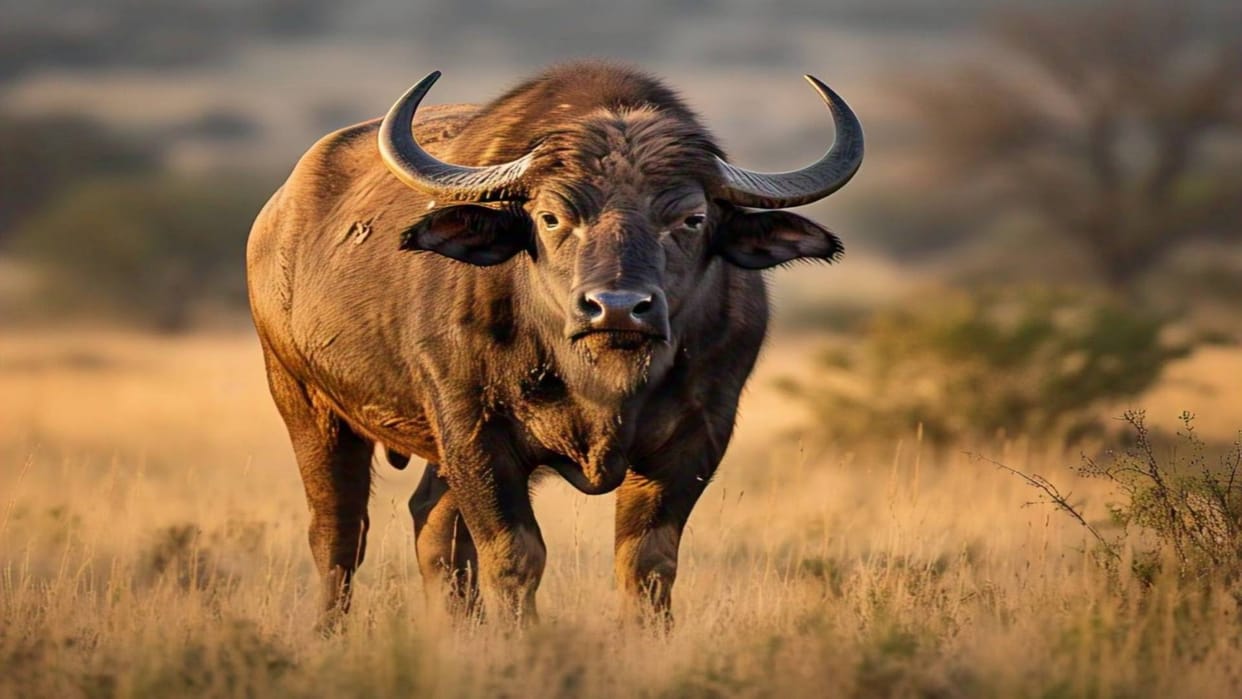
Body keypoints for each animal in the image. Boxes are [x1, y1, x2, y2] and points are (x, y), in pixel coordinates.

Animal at [246, 61, 862, 628]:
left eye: (691, 219)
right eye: (550, 217)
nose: (617, 307)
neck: (601, 382)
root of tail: (275, 215)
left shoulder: (698, 435)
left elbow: (647, 562)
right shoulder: (473, 429)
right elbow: (515, 555)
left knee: (432, 527)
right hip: (304, 401)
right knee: (339, 532)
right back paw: (330, 630)